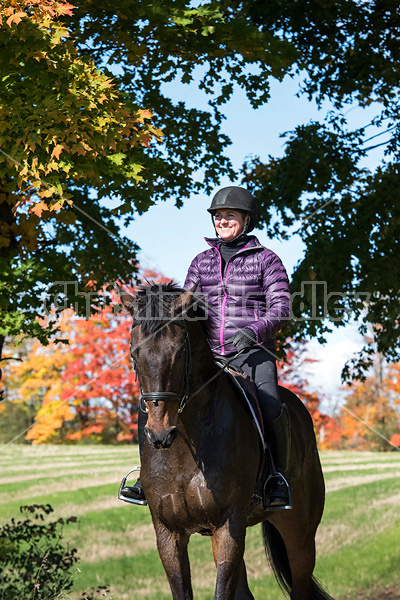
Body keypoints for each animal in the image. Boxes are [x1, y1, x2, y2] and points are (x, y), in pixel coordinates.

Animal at [116, 282, 334, 600]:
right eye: (134, 353)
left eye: (179, 352)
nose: (159, 433)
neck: (186, 446)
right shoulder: (169, 533)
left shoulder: (228, 523)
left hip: (300, 533)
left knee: (300, 585)